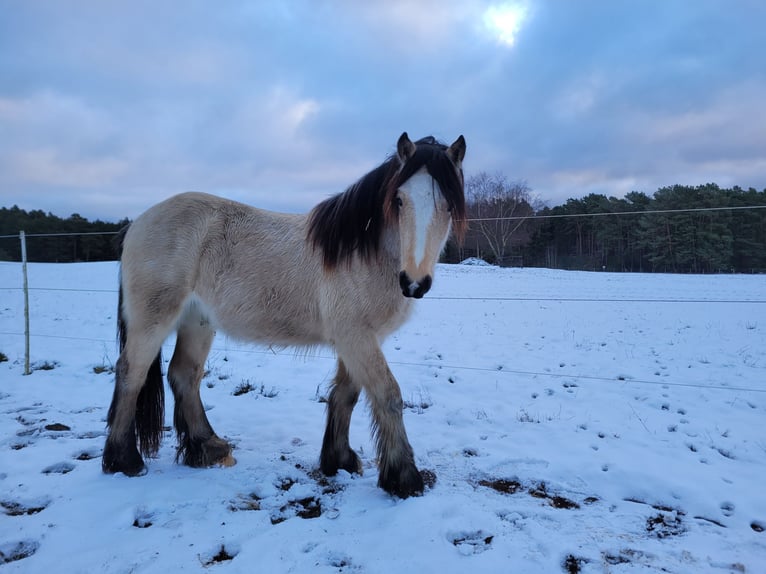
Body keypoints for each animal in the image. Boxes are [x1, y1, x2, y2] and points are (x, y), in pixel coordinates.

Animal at [102, 132, 466, 498]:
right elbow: (388, 395)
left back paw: (207, 446)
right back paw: (124, 460)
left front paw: (339, 460)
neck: (362, 254)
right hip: (153, 319)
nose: (414, 282)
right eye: (400, 201)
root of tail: (137, 224)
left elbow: (346, 395)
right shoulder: (357, 338)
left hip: (197, 322)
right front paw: (404, 478)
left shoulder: (355, 340)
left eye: (449, 205)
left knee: (184, 375)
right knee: (131, 373)